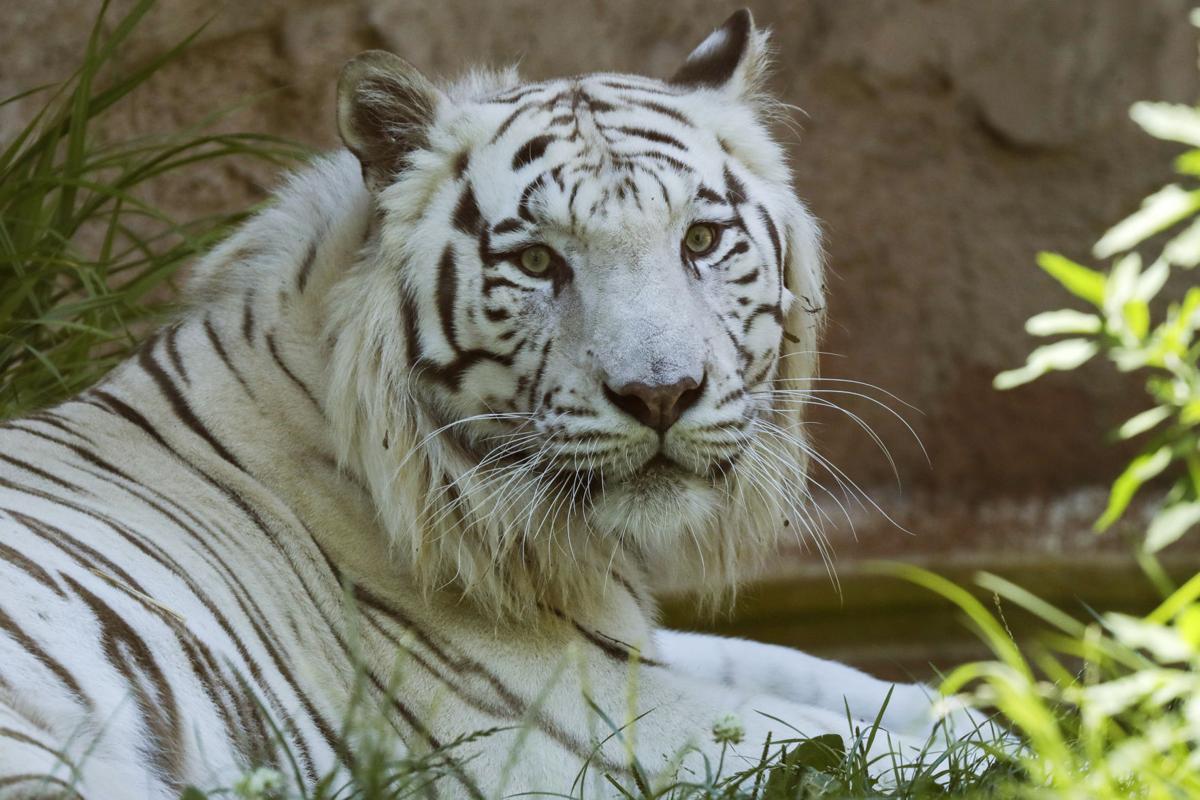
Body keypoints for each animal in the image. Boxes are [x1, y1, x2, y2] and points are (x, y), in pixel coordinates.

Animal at [0, 12, 974, 800]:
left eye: (700, 240)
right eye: (539, 262)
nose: (660, 395)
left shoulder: (627, 638)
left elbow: (812, 674)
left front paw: (984, 702)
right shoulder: (576, 719)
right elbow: (840, 740)